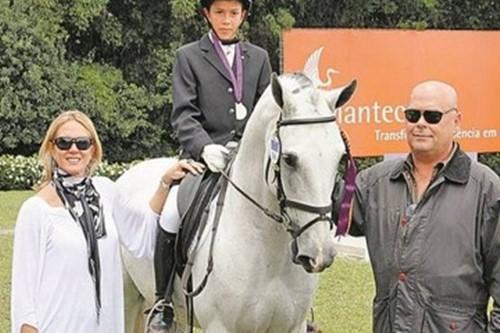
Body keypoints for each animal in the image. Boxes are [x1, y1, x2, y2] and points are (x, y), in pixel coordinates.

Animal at [118, 72, 356, 332]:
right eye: (289, 159)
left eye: (340, 157)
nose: (319, 254)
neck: (270, 253)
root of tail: (131, 171)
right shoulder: (220, 326)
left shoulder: (293, 326)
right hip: (127, 296)